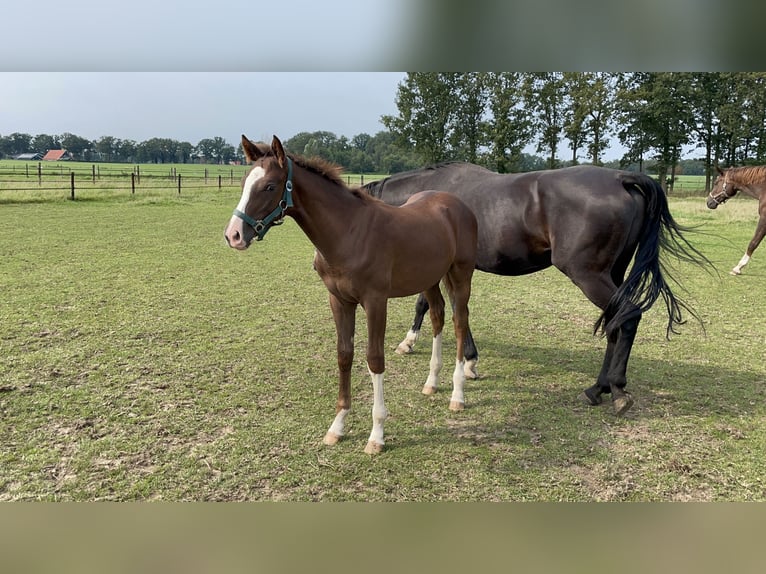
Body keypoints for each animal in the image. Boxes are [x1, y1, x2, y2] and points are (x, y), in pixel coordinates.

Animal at [222, 137, 476, 456]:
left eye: (269, 186)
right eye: (244, 182)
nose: (233, 235)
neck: (349, 232)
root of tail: (456, 204)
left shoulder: (375, 301)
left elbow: (374, 359)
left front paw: (377, 435)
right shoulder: (339, 300)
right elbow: (344, 355)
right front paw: (337, 426)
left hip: (461, 275)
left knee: (459, 321)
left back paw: (458, 395)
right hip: (429, 277)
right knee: (438, 317)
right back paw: (431, 382)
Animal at [364, 162, 712, 418]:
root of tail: (620, 178)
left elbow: (428, 306)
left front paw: (410, 343)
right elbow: (457, 312)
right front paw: (470, 361)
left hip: (589, 276)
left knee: (627, 318)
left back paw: (616, 389)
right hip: (612, 275)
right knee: (615, 324)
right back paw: (598, 389)